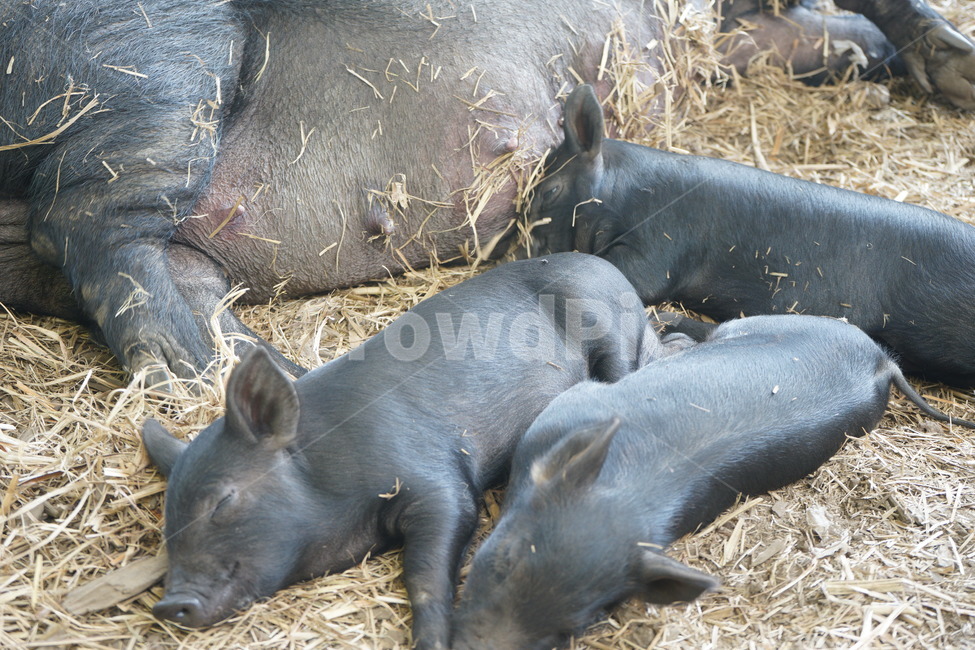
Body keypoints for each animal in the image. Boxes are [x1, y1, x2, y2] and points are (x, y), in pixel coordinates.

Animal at [141, 252, 678, 650]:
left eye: (222, 501)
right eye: (169, 520)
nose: (168, 604)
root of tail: (606, 267)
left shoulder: (436, 478)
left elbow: (427, 571)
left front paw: (434, 640)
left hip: (608, 328)